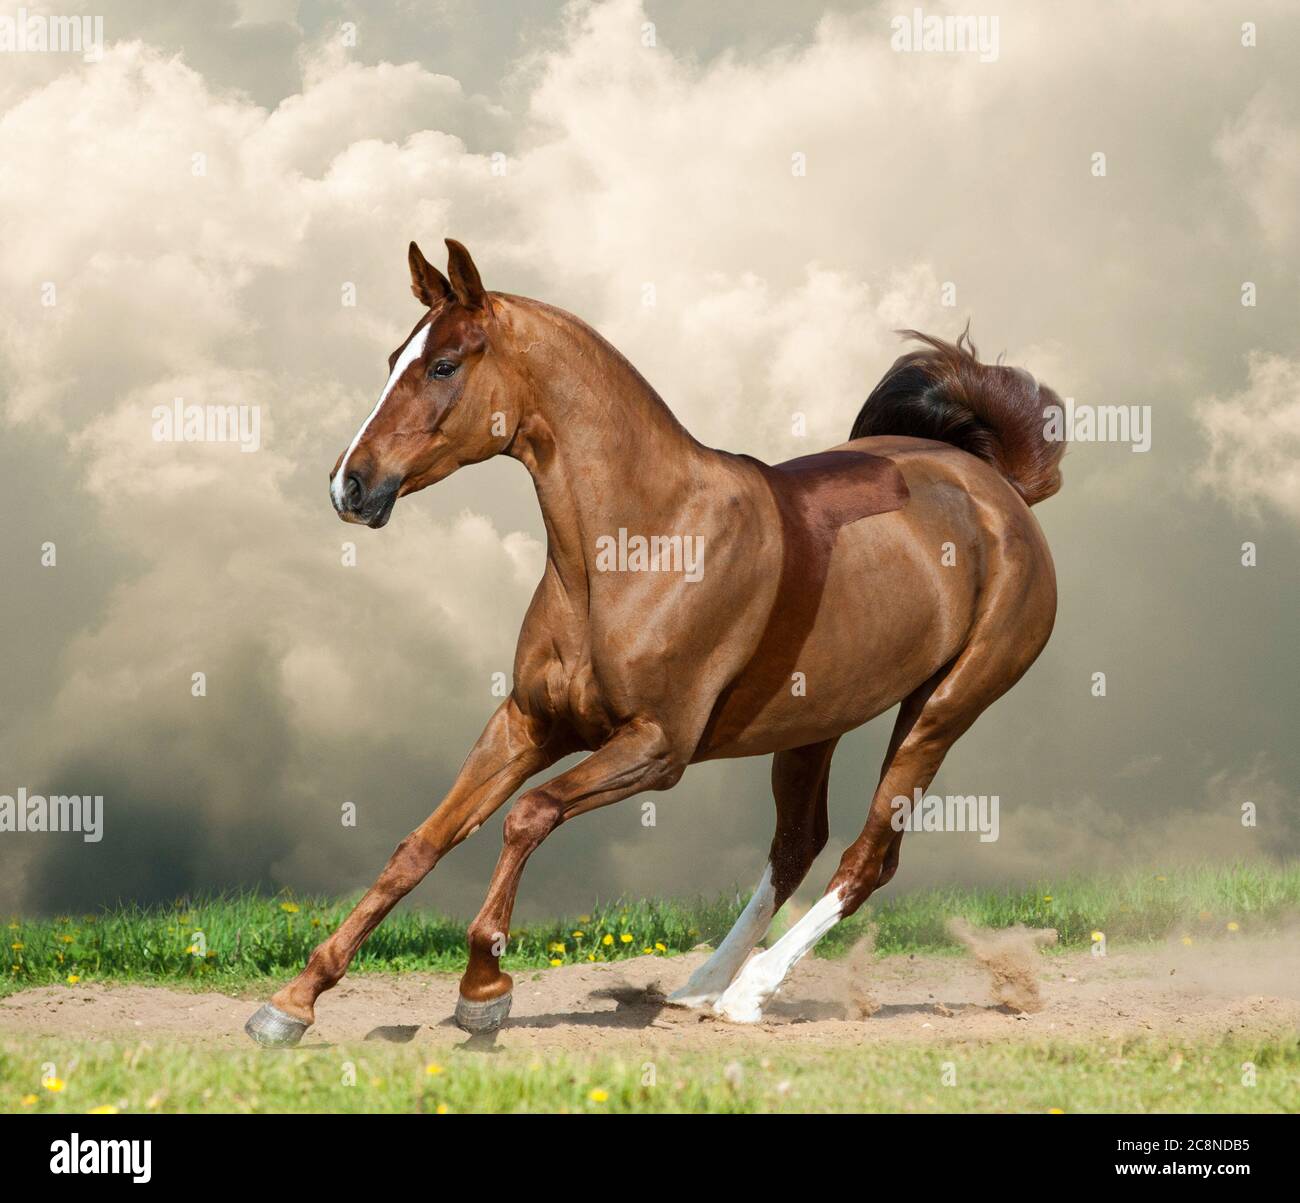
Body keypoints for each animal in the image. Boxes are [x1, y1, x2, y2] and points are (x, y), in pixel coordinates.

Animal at [244, 236, 1066, 1040]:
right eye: (394, 359)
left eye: (444, 364)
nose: (349, 486)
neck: (641, 544)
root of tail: (997, 492)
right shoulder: (528, 723)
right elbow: (419, 845)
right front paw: (292, 1003)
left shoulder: (655, 747)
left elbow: (527, 815)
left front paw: (484, 987)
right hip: (813, 724)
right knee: (796, 846)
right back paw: (701, 985)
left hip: (941, 710)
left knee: (869, 856)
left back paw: (749, 993)